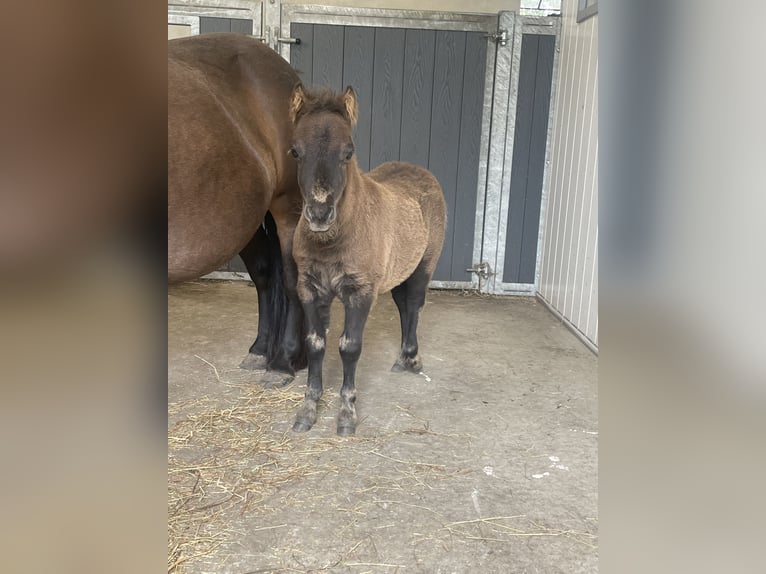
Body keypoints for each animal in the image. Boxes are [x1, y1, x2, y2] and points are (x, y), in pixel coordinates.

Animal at [170, 32, 306, 374]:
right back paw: (261, 350)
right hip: (247, 219)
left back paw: (284, 361)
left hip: (288, 206)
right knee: (265, 275)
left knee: (291, 280)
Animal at [288, 85, 448, 436]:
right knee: (403, 306)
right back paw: (403, 357)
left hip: (423, 266)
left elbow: (349, 347)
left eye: (348, 151)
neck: (336, 239)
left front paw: (347, 415)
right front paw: (307, 411)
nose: (319, 215)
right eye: (295, 151)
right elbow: (316, 343)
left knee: (414, 305)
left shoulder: (360, 292)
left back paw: (410, 358)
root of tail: (421, 172)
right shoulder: (310, 289)